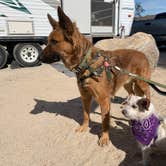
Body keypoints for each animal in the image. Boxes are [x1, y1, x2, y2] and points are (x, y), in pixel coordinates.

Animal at [40, 6, 151, 147]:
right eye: (48, 41)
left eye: (54, 42)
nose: (39, 58)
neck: (87, 63)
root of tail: (142, 54)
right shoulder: (85, 97)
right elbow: (86, 114)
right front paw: (84, 127)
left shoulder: (104, 100)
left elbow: (104, 121)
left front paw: (104, 138)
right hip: (126, 83)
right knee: (132, 93)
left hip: (142, 83)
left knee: (148, 93)